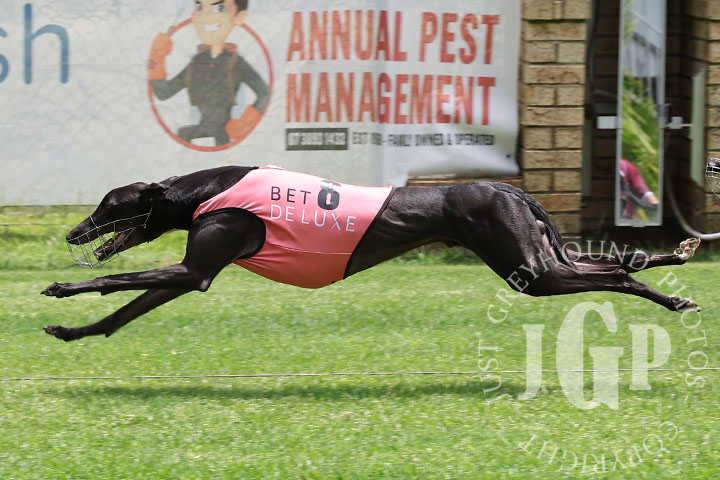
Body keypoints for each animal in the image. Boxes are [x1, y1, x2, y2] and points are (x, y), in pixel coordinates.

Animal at [42, 165, 701, 341]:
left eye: (108, 205)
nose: (74, 233)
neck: (203, 191)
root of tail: (511, 189)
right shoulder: (189, 272)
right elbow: (125, 309)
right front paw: (73, 332)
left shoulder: (195, 266)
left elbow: (117, 279)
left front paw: (59, 289)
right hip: (538, 258)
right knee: (618, 264)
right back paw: (674, 277)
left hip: (527, 269)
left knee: (613, 274)